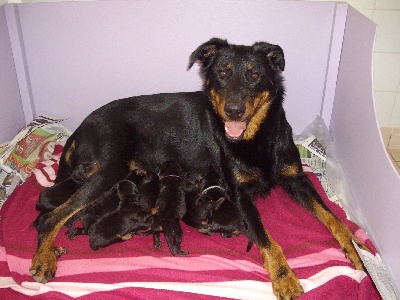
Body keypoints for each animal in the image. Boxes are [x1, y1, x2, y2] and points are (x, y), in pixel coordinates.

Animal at [31, 38, 372, 298]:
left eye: (254, 75)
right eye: (222, 72)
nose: (233, 110)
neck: (255, 137)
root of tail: (80, 128)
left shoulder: (297, 179)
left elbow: (332, 218)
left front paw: (357, 253)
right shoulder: (240, 194)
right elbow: (267, 238)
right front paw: (284, 277)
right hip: (109, 171)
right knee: (53, 216)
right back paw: (45, 257)